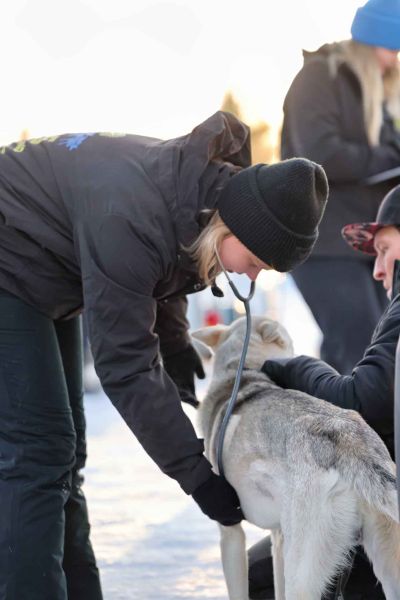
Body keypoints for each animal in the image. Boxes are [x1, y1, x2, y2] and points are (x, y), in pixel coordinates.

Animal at [192, 316, 400, 600]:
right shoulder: (279, 538)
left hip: (302, 575)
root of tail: (348, 440)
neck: (242, 371)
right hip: (385, 567)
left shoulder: (230, 532)